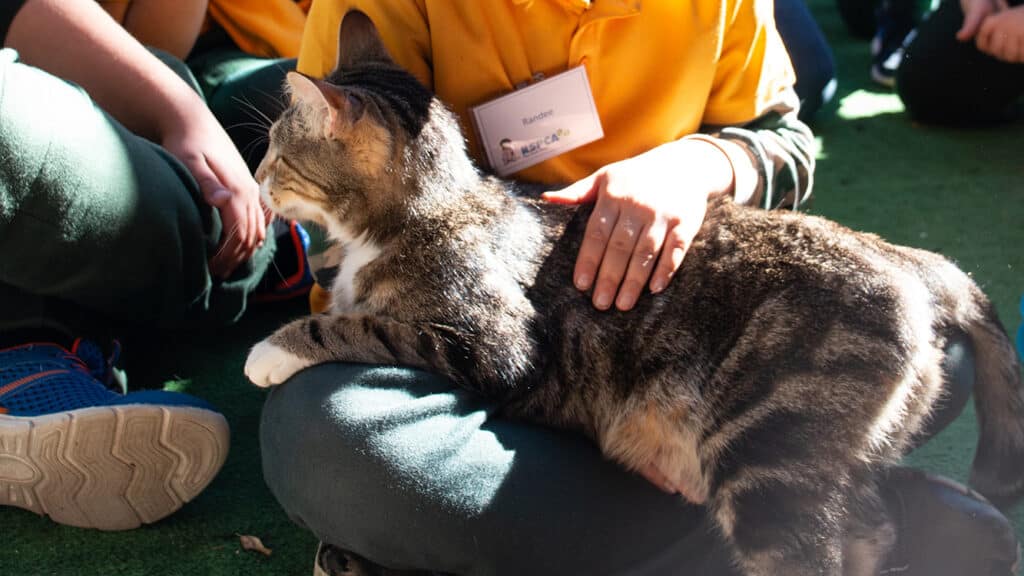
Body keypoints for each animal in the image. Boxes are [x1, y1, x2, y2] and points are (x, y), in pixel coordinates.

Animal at [245, 10, 1024, 576]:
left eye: (278, 153)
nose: (254, 181)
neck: (424, 211)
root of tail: (906, 259)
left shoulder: (490, 339)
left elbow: (362, 325)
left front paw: (274, 352)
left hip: (769, 455)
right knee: (871, 524)